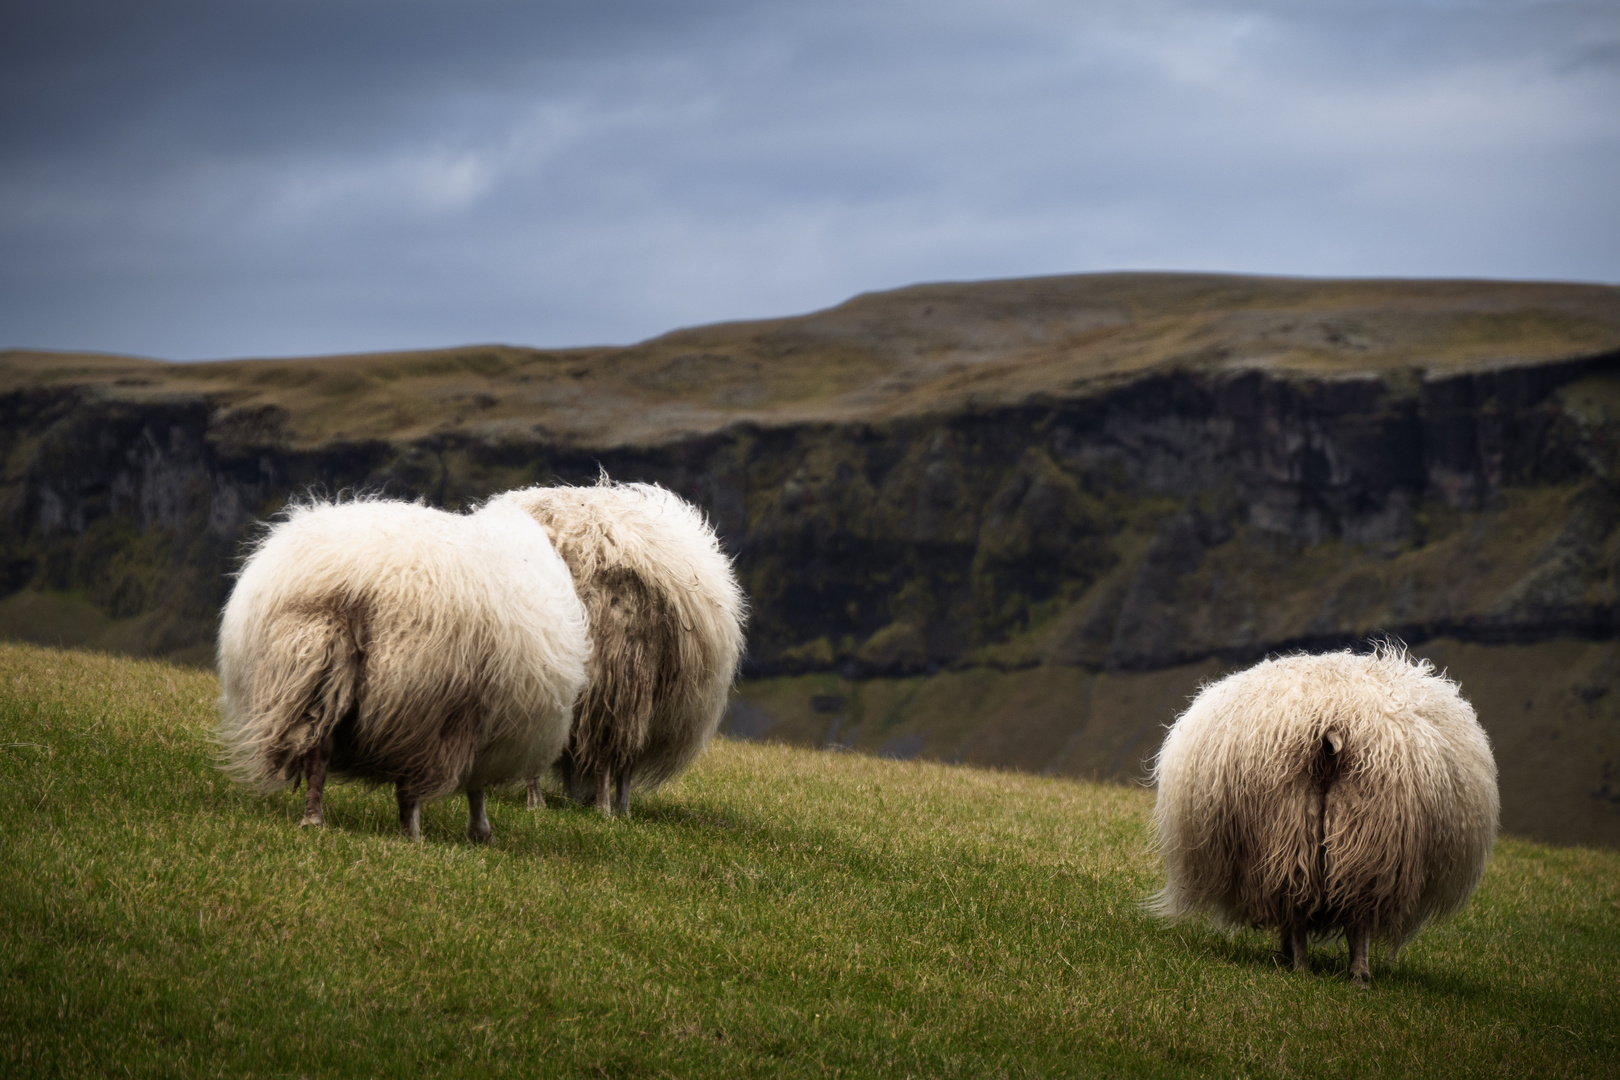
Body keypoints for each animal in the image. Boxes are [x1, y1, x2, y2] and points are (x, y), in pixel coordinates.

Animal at [218, 498, 589, 841]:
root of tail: (349, 581)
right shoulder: (480, 725)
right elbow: (476, 786)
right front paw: (481, 831)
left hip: (313, 669)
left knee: (317, 755)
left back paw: (313, 818)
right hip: (420, 700)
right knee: (408, 787)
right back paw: (412, 835)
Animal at [489, 476, 748, 816]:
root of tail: (567, 544)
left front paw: (572, 796)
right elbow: (626, 761)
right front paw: (620, 806)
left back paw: (539, 802)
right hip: (617, 670)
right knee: (607, 751)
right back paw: (606, 809)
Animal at [1146, 647, 1496, 984]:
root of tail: (1332, 724)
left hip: (1289, 823)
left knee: (1298, 906)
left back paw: (1299, 965)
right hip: (1368, 829)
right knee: (1356, 911)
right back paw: (1358, 974)